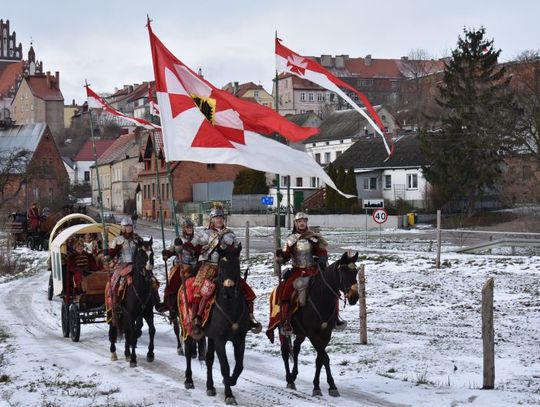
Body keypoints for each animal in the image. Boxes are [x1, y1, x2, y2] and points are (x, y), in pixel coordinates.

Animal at [108, 237, 156, 368]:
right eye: (141, 254)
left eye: (152, 254)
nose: (149, 274)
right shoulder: (130, 314)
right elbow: (133, 334)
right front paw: (133, 359)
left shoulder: (148, 313)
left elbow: (151, 330)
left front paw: (150, 354)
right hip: (113, 311)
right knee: (113, 329)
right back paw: (113, 352)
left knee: (126, 331)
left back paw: (127, 353)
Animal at [182, 244, 248, 406]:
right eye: (222, 266)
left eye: (237, 264)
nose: (229, 290)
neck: (230, 307)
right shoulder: (219, 340)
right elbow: (225, 366)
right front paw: (229, 395)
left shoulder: (239, 339)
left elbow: (239, 365)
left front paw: (230, 381)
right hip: (187, 327)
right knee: (188, 352)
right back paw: (189, 380)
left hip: (210, 337)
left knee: (209, 359)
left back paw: (210, 387)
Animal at [278, 250, 358, 396]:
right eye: (344, 272)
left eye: (355, 272)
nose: (354, 297)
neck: (321, 297)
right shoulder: (312, 334)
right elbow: (324, 357)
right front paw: (332, 386)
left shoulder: (326, 334)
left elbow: (319, 359)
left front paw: (317, 386)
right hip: (281, 329)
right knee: (285, 352)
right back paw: (289, 380)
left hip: (301, 332)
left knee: (296, 348)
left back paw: (294, 375)